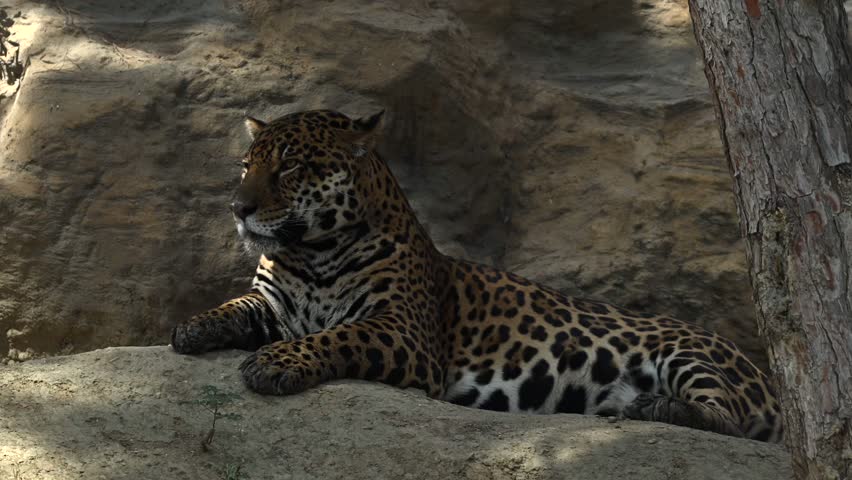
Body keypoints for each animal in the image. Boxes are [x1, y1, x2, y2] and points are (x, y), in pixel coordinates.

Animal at [171, 108, 783, 442]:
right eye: (247, 166)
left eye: (291, 167)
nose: (238, 208)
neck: (311, 252)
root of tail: (766, 376)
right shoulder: (272, 305)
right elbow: (234, 307)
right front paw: (192, 327)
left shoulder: (403, 332)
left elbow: (338, 335)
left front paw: (275, 362)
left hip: (691, 352)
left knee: (729, 418)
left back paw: (659, 407)